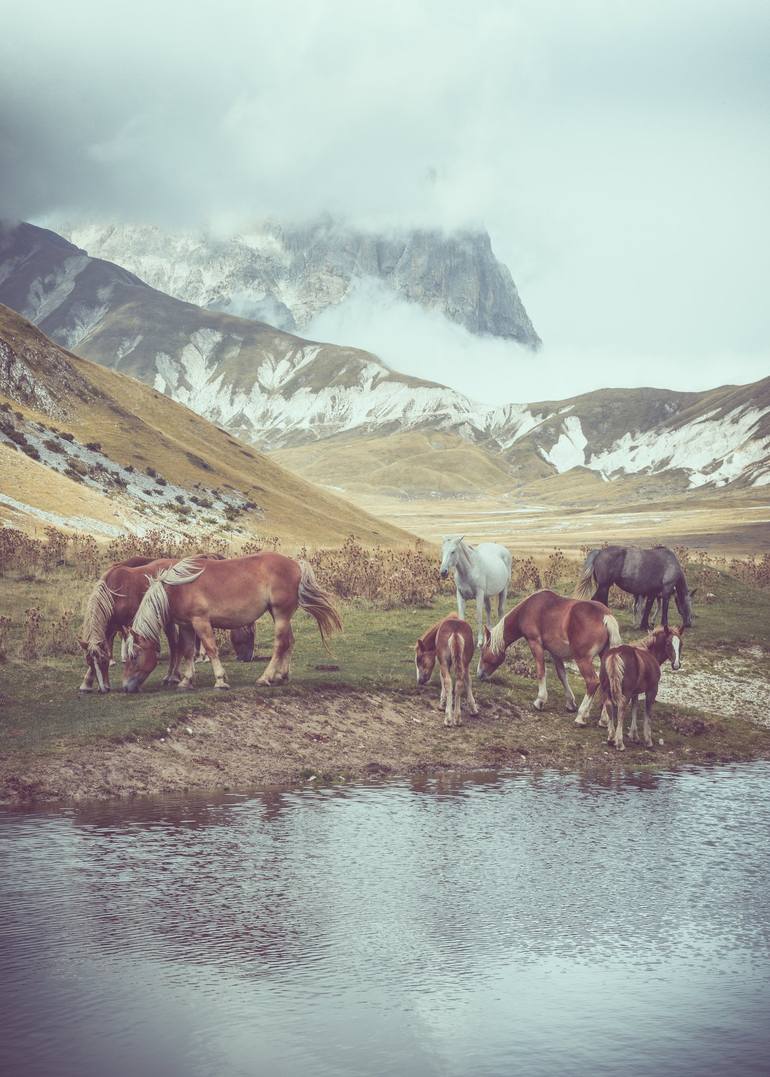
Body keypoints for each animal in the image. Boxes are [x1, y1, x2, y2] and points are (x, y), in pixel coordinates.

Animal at [122, 551, 340, 693]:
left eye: (134, 656)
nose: (125, 687)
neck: (178, 587)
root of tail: (295, 564)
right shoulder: (186, 626)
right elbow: (188, 652)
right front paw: (186, 681)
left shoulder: (201, 622)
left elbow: (210, 649)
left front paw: (220, 681)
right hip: (279, 615)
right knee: (290, 642)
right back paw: (282, 676)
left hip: (281, 614)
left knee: (281, 644)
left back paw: (265, 678)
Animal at [478, 590, 624, 723]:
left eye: (483, 651)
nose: (479, 674)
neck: (527, 609)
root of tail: (606, 616)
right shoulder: (555, 653)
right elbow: (562, 675)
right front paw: (570, 703)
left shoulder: (535, 644)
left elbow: (541, 671)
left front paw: (540, 701)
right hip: (604, 658)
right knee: (607, 683)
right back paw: (604, 719)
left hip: (583, 660)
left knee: (592, 681)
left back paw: (581, 715)